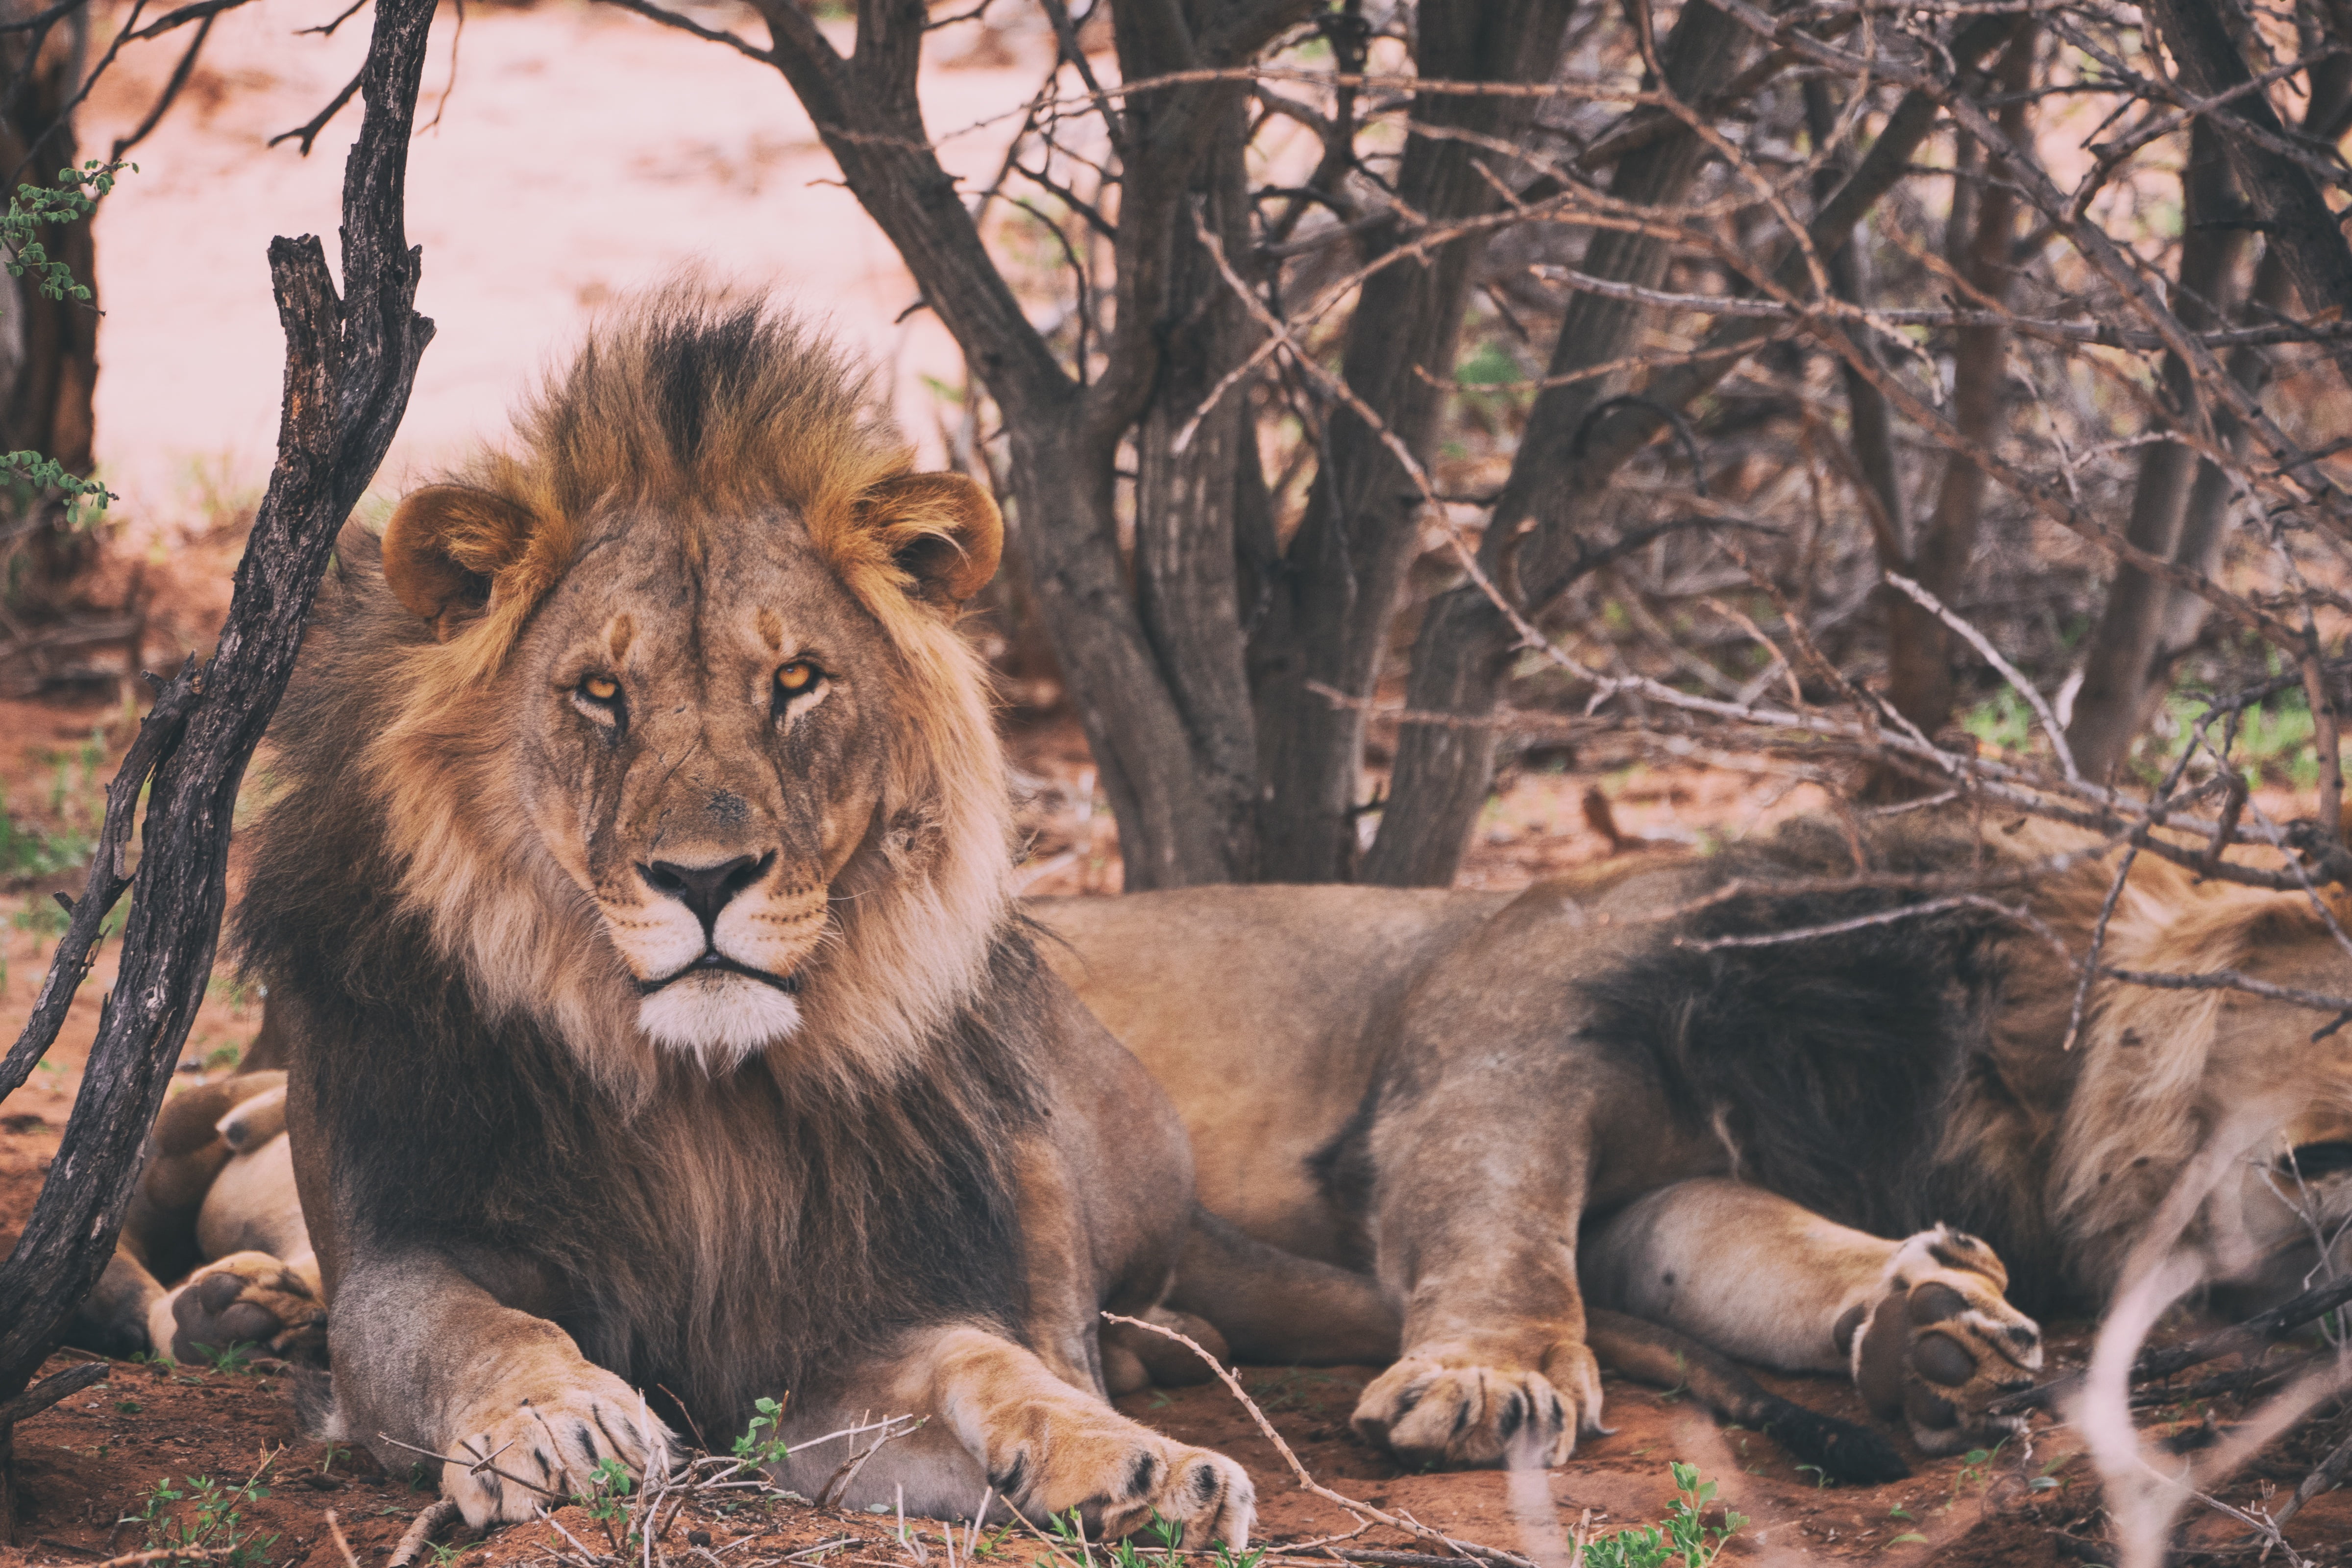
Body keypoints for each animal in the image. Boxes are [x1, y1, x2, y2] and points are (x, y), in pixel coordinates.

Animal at [78, 297, 1345, 1542]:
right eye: (600, 692)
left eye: (795, 681)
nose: (704, 877)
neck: (697, 1103)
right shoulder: (397, 1253)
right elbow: (479, 1331)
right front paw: (563, 1422)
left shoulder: (852, 1327)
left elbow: (986, 1361)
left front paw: (1136, 1465)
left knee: (1073, 1323)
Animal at [1039, 818, 2352, 1476]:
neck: (2020, 1084)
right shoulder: (1510, 1031)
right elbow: (1503, 1219)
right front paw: (1494, 1376)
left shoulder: (1681, 1185)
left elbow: (1751, 1249)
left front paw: (1939, 1329)